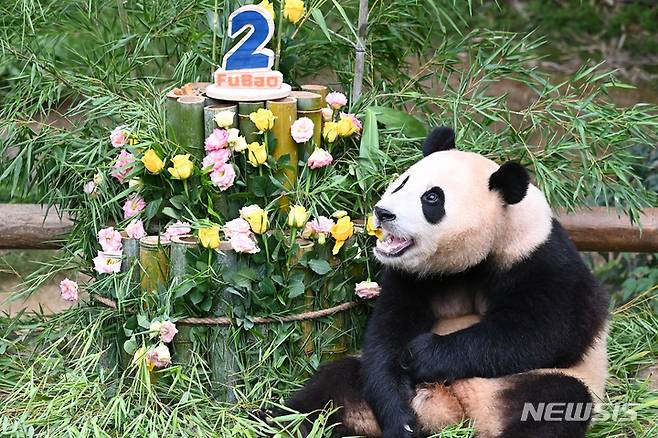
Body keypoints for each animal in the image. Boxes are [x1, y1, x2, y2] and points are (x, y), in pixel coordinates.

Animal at [258, 127, 608, 438]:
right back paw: (274, 420)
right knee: (335, 384)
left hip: (534, 383)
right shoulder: (413, 276)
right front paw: (401, 422)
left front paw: (421, 354)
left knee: (556, 403)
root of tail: (456, 411)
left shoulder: (541, 259)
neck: (482, 253)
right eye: (402, 183)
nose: (383, 213)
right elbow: (387, 336)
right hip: (362, 388)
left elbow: (545, 331)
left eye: (432, 198)